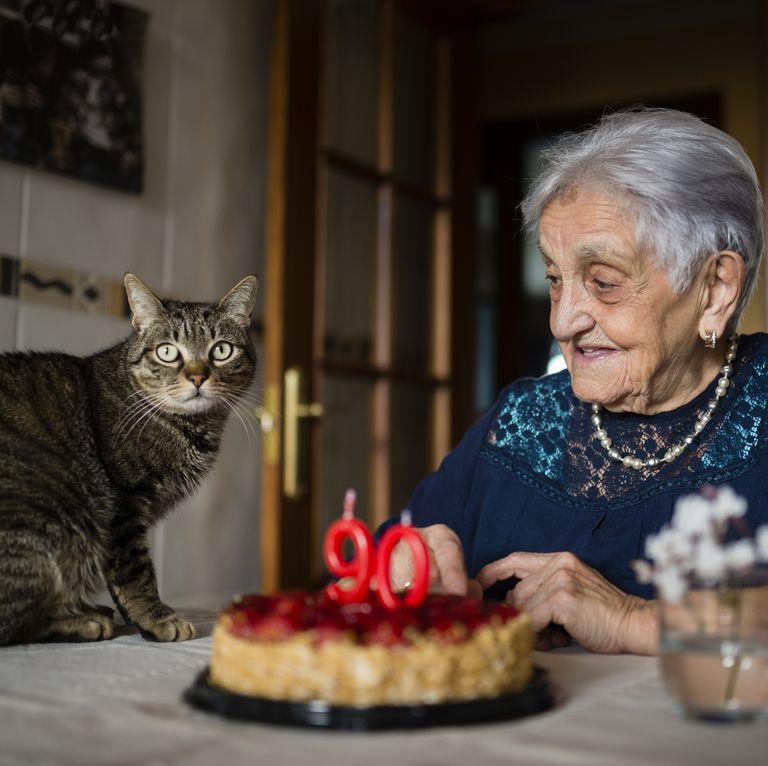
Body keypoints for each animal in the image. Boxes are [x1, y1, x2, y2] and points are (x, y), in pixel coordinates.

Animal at [0, 272, 260, 644]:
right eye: (167, 352)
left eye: (221, 350)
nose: (197, 376)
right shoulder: (123, 504)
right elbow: (135, 571)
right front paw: (157, 618)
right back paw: (79, 619)